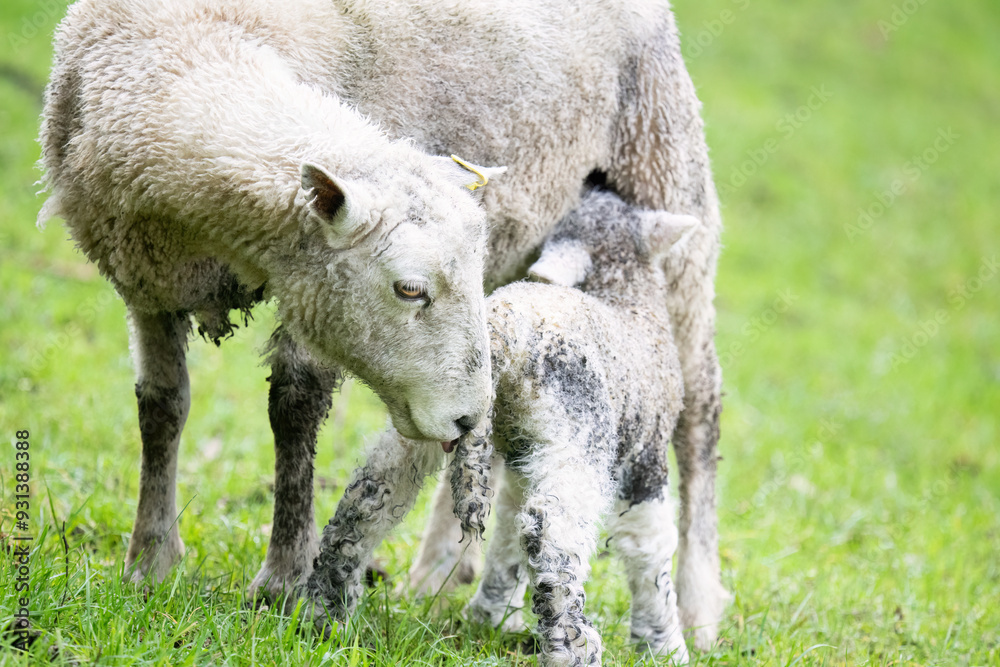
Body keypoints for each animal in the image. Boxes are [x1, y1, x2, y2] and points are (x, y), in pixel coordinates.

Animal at [304, 189, 698, 665]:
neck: (630, 303)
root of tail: (505, 332)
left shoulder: (524, 456)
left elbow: (508, 531)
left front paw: (489, 615)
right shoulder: (646, 456)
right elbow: (649, 548)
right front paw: (663, 644)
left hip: (435, 411)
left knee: (368, 501)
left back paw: (325, 616)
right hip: (580, 437)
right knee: (551, 533)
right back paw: (571, 647)